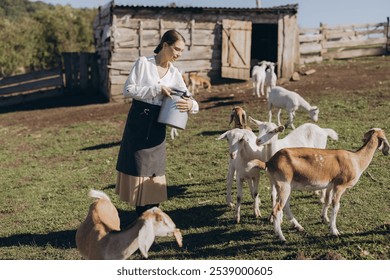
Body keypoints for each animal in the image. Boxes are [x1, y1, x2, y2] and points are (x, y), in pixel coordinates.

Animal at [248, 128, 388, 242]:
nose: (387, 152)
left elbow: (327, 201)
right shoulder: (340, 186)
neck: (356, 159)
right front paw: (334, 231)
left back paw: (298, 227)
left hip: (285, 186)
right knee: (277, 209)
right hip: (283, 185)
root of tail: (269, 162)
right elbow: (336, 206)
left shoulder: (330, 185)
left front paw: (324, 219)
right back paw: (281, 237)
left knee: (285, 207)